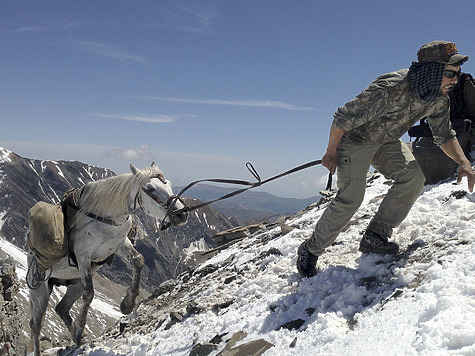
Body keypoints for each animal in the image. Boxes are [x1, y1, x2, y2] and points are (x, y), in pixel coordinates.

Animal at [27, 163, 189, 354]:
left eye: (169, 184)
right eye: (150, 188)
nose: (181, 214)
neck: (105, 217)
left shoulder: (120, 244)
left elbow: (138, 260)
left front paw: (127, 304)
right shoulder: (83, 257)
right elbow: (89, 293)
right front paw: (80, 331)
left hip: (74, 283)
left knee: (61, 308)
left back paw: (76, 334)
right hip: (40, 291)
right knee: (36, 325)